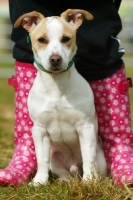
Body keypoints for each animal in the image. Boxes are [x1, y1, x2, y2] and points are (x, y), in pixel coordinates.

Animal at [14, 9, 107, 184]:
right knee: (62, 173)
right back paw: (64, 181)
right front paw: (39, 182)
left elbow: (88, 157)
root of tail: (74, 170)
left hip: (101, 161)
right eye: (42, 40)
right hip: (55, 160)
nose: (55, 59)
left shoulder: (86, 127)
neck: (56, 85)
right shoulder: (40, 130)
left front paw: (89, 181)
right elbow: (41, 159)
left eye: (66, 39)